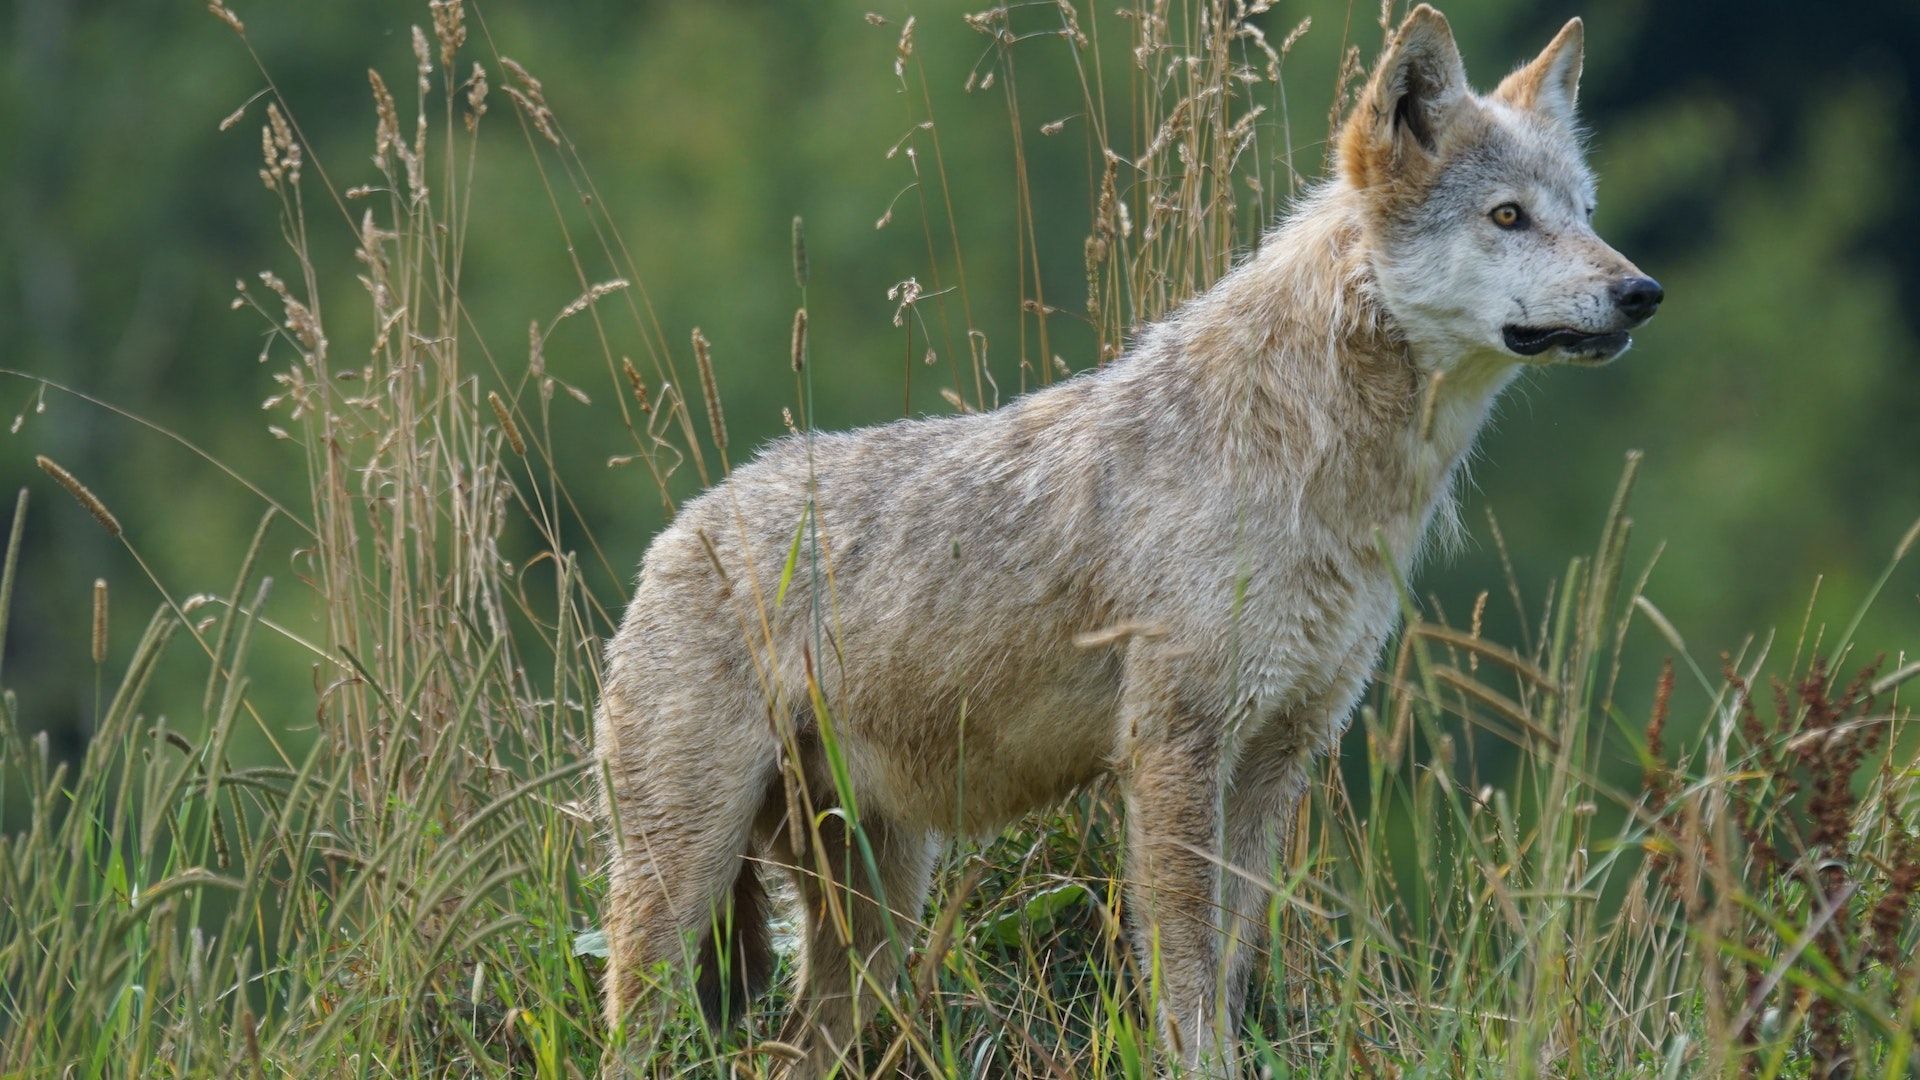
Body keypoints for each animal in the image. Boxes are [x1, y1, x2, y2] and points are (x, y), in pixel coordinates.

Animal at [595, 5, 1661, 1074]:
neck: (1320, 469)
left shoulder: (1280, 754)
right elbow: (1186, 981)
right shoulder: (1174, 750)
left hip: (874, 923)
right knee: (628, 1036)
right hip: (687, 892)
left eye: (1586, 210)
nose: (1642, 291)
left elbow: (1229, 963)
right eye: (1508, 217)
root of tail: (678, 531)